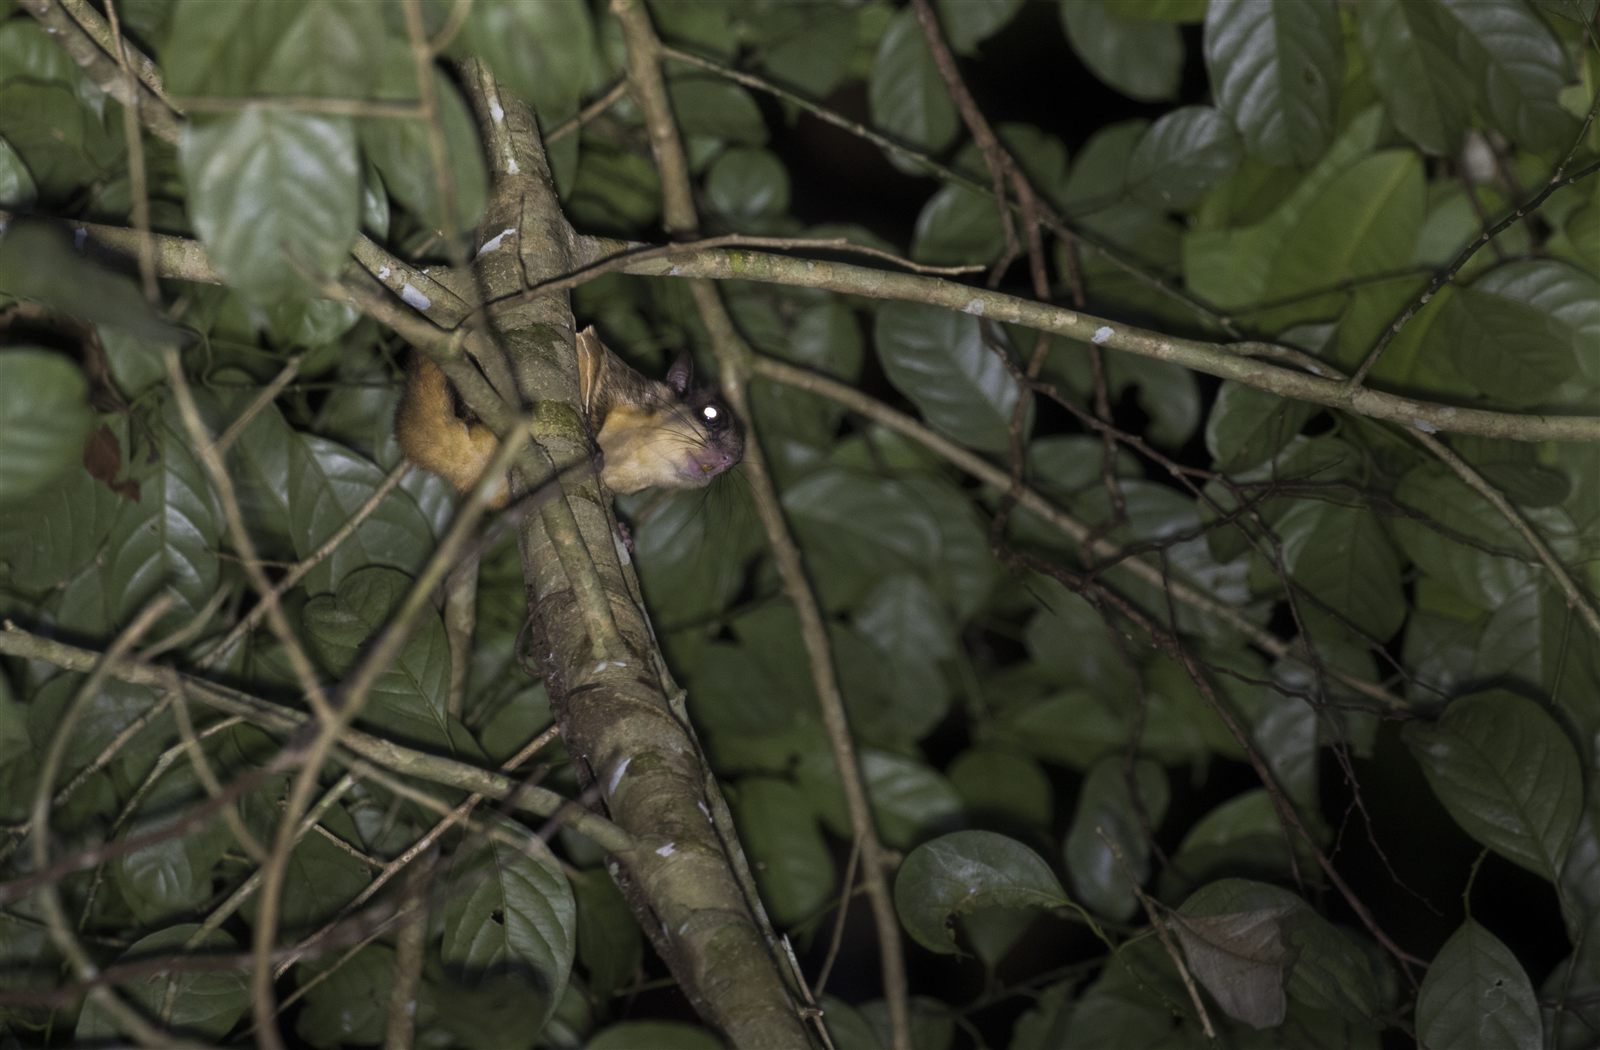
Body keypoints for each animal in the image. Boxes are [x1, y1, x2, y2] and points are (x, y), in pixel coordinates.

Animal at [395, 327, 743, 506]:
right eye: (711, 414)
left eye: (739, 459)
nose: (731, 460)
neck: (635, 455)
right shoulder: (621, 383)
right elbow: (597, 371)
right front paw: (591, 436)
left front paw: (623, 534)